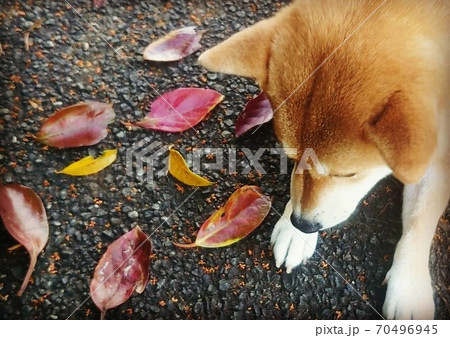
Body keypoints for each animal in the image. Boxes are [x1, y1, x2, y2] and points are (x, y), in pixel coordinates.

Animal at [200, 0, 450, 318]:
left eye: (347, 174)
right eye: (291, 157)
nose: (303, 225)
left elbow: (420, 219)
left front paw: (409, 287)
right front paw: (295, 233)